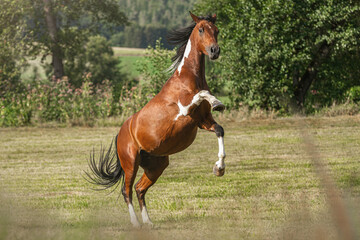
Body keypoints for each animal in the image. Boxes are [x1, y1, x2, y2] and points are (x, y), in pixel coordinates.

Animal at [86, 11, 225, 229]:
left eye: (217, 30)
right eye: (202, 29)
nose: (214, 51)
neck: (188, 79)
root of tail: (120, 133)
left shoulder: (203, 121)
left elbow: (220, 130)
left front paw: (219, 169)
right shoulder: (183, 111)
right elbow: (202, 94)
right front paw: (217, 102)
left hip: (156, 166)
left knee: (139, 189)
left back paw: (148, 222)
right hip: (130, 163)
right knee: (127, 190)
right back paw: (136, 223)